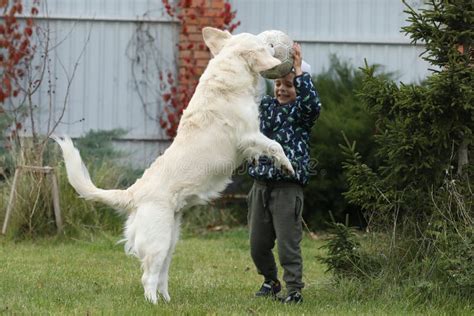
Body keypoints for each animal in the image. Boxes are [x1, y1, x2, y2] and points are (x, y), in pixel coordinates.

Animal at [51, 27, 292, 304]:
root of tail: (134, 193)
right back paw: (153, 303)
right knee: (148, 277)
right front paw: (288, 166)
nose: (278, 42)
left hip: (171, 240)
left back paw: (167, 301)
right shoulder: (249, 136)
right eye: (266, 44)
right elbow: (275, 145)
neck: (228, 76)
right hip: (159, 241)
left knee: (161, 277)